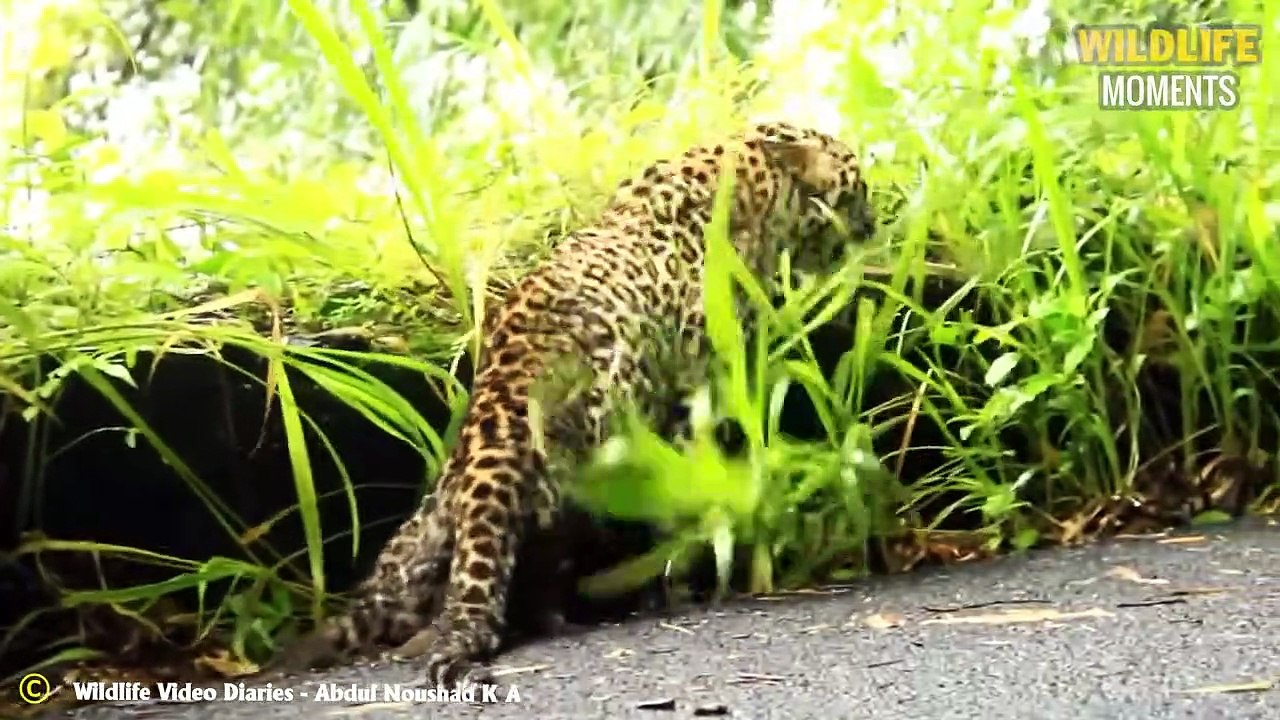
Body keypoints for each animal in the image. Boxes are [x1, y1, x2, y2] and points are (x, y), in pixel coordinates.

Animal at [270, 120, 876, 687]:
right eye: (858, 183)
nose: (873, 224)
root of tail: (488, 444)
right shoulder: (693, 383)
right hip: (580, 479)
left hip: (416, 550)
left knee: (398, 603)